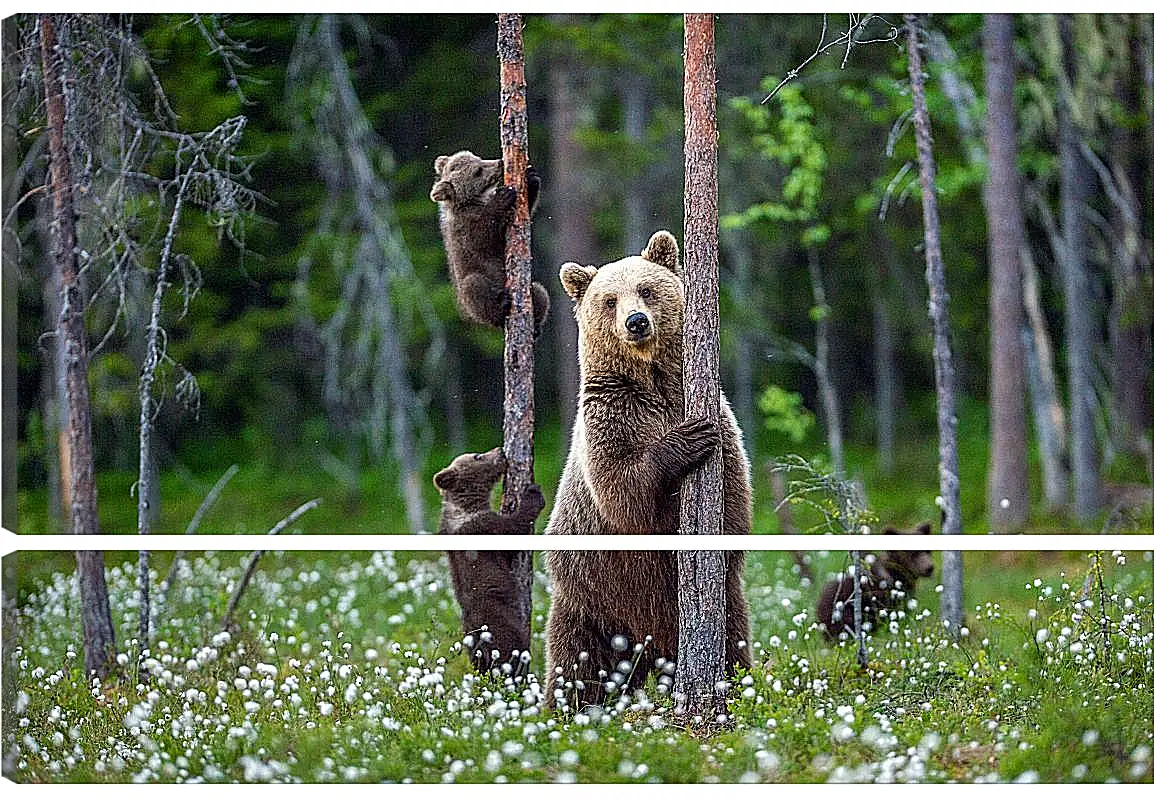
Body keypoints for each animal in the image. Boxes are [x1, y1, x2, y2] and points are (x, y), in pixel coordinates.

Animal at [433, 150, 549, 334]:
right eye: (478, 171)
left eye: (479, 159)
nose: (500, 162)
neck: (472, 201)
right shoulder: (464, 227)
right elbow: (483, 237)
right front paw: (503, 196)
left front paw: (531, 178)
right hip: (470, 292)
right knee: (474, 287)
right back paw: (501, 306)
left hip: (531, 290)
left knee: (539, 292)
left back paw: (536, 326)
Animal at [436, 450, 544, 674]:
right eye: (477, 456)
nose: (501, 451)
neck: (467, 506)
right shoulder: (484, 528)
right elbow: (513, 531)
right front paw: (532, 493)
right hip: (501, 625)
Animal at [542, 227, 752, 706]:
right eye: (609, 300)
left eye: (646, 289)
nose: (636, 321)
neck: (652, 381)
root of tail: (648, 647)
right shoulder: (610, 417)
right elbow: (622, 491)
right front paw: (686, 441)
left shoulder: (717, 417)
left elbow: (734, 496)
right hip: (591, 598)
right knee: (576, 663)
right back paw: (563, 709)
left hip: (720, 607)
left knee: (733, 640)